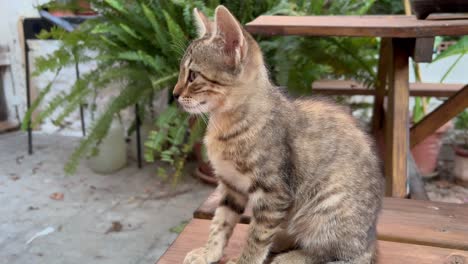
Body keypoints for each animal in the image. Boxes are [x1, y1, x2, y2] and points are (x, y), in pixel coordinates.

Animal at [176, 6, 384, 264]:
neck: (225, 124)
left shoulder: (273, 194)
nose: (174, 94)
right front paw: (208, 252)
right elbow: (220, 222)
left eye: (193, 76)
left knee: (338, 254)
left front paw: (244, 260)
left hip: (326, 207)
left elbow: (257, 236)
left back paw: (292, 256)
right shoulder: (230, 186)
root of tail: (369, 241)